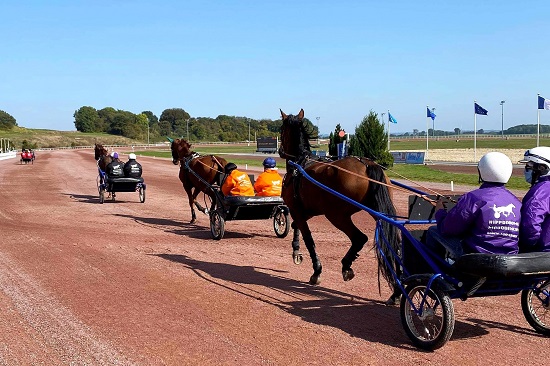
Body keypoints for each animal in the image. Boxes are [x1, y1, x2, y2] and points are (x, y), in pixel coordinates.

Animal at [280, 108, 402, 298]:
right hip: (377, 212)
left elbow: (309, 239)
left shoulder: (297, 210)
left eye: (281, 130)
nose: (279, 150)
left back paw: (346, 265)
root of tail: (367, 164)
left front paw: (316, 271)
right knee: (393, 245)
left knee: (359, 238)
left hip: (337, 215)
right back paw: (397, 291)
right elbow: (295, 226)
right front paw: (296, 250)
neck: (300, 164)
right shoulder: (307, 210)